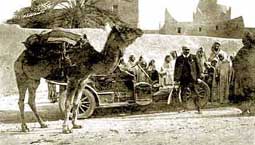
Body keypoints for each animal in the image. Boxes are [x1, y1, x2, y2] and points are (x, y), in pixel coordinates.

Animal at [14, 25, 143, 133]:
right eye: (126, 29)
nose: (140, 30)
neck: (92, 60)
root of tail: (20, 56)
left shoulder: (83, 80)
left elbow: (76, 102)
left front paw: (76, 125)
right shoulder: (72, 79)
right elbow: (68, 103)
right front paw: (66, 128)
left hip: (33, 80)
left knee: (31, 100)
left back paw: (43, 124)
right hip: (20, 76)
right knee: (21, 101)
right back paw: (25, 127)